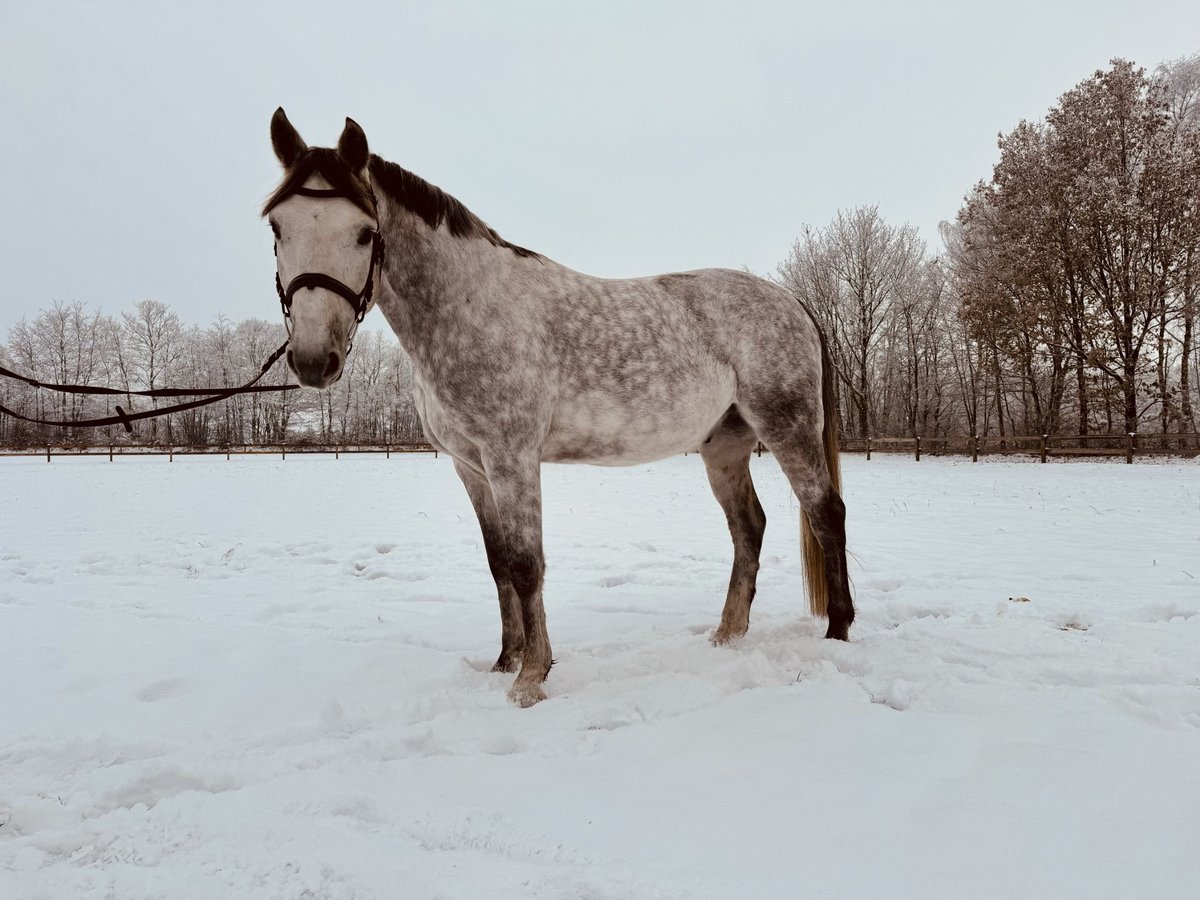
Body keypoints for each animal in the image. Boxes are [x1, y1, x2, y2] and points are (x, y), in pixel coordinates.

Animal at [268, 109, 859, 710]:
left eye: (364, 233)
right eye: (277, 229)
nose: (313, 360)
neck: (470, 308)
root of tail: (791, 301)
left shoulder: (512, 457)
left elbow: (528, 564)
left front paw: (531, 678)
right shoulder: (470, 466)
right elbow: (499, 562)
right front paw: (505, 661)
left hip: (787, 428)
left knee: (825, 514)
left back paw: (838, 630)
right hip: (725, 445)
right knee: (749, 527)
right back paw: (727, 633)